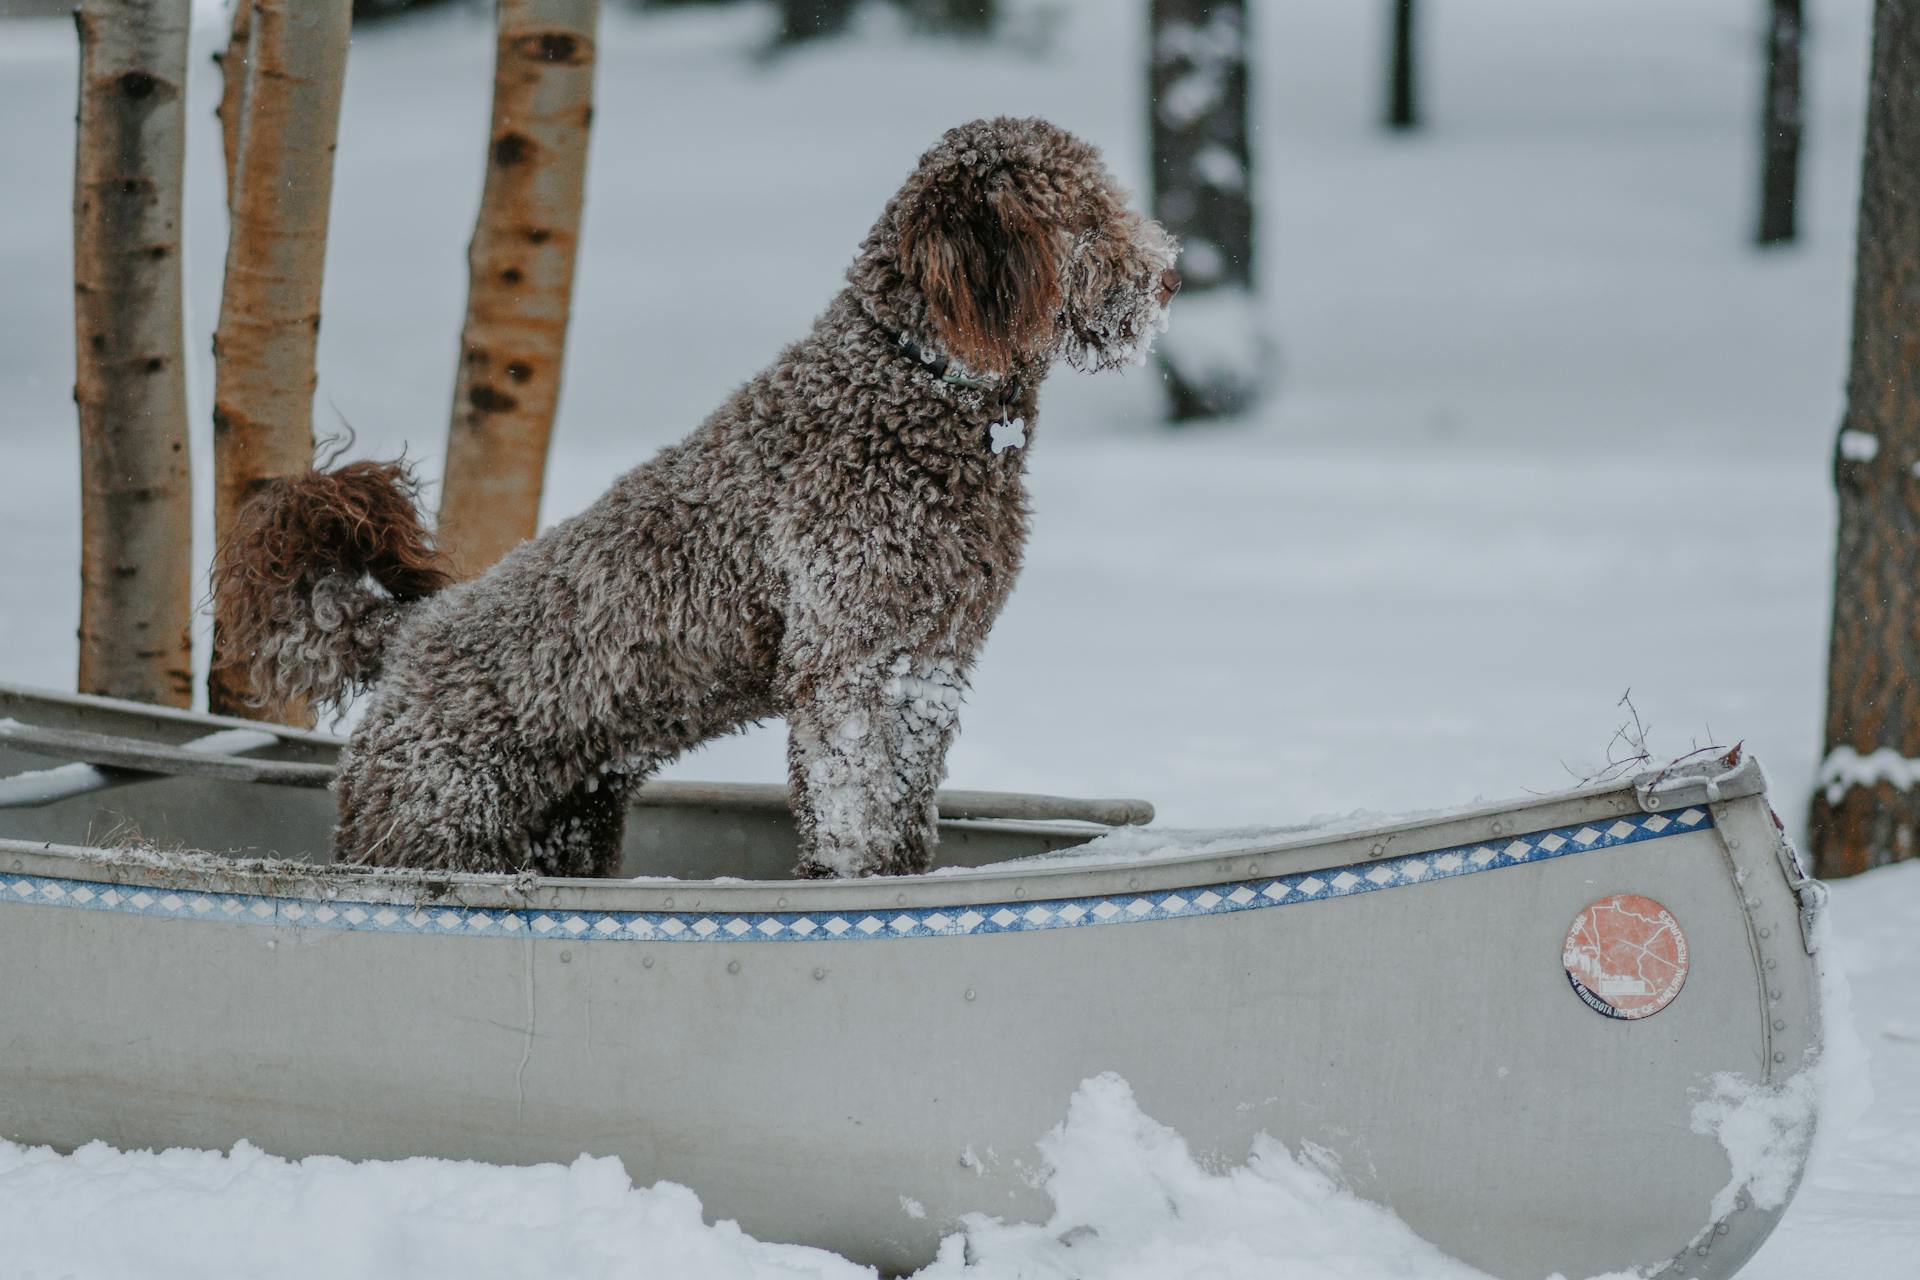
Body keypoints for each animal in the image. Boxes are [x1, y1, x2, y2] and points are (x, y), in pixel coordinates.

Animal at [210, 117, 1167, 882]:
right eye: (1087, 213)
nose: (1167, 275)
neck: (910, 382)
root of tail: (405, 635)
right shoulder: (849, 666)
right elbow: (855, 811)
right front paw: (848, 884)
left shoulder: (925, 662)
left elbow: (903, 808)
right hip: (433, 829)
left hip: (564, 828)